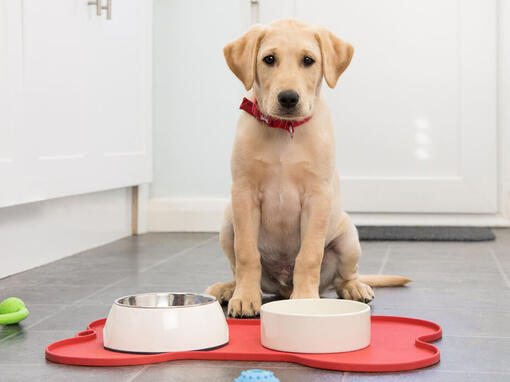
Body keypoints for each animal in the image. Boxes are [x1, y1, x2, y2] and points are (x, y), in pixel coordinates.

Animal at [205, 18, 408, 316]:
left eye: (308, 60)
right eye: (269, 59)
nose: (289, 98)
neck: (284, 131)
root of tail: (282, 285)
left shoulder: (317, 197)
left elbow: (309, 255)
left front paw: (304, 300)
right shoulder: (244, 194)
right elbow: (247, 254)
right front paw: (245, 297)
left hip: (349, 238)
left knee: (344, 276)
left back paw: (353, 288)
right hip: (227, 226)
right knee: (238, 267)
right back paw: (229, 288)